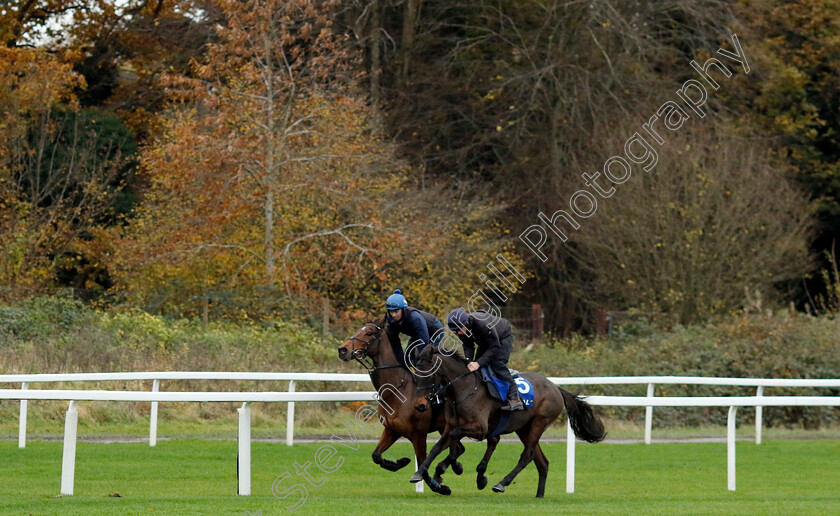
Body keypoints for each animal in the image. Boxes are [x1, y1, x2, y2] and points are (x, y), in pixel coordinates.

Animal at [336, 318, 480, 496]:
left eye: (369, 333)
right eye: (359, 330)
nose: (343, 349)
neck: (398, 390)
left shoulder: (418, 434)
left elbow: (423, 464)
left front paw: (440, 487)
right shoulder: (392, 430)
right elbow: (376, 455)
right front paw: (400, 462)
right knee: (460, 448)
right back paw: (455, 467)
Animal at [406, 342, 604, 496]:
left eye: (427, 373)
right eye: (415, 374)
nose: (420, 405)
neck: (464, 389)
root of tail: (556, 387)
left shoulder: (480, 429)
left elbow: (456, 437)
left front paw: (456, 466)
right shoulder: (449, 426)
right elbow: (436, 448)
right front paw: (421, 472)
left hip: (540, 422)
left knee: (527, 455)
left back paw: (501, 483)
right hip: (523, 428)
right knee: (542, 462)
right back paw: (539, 495)